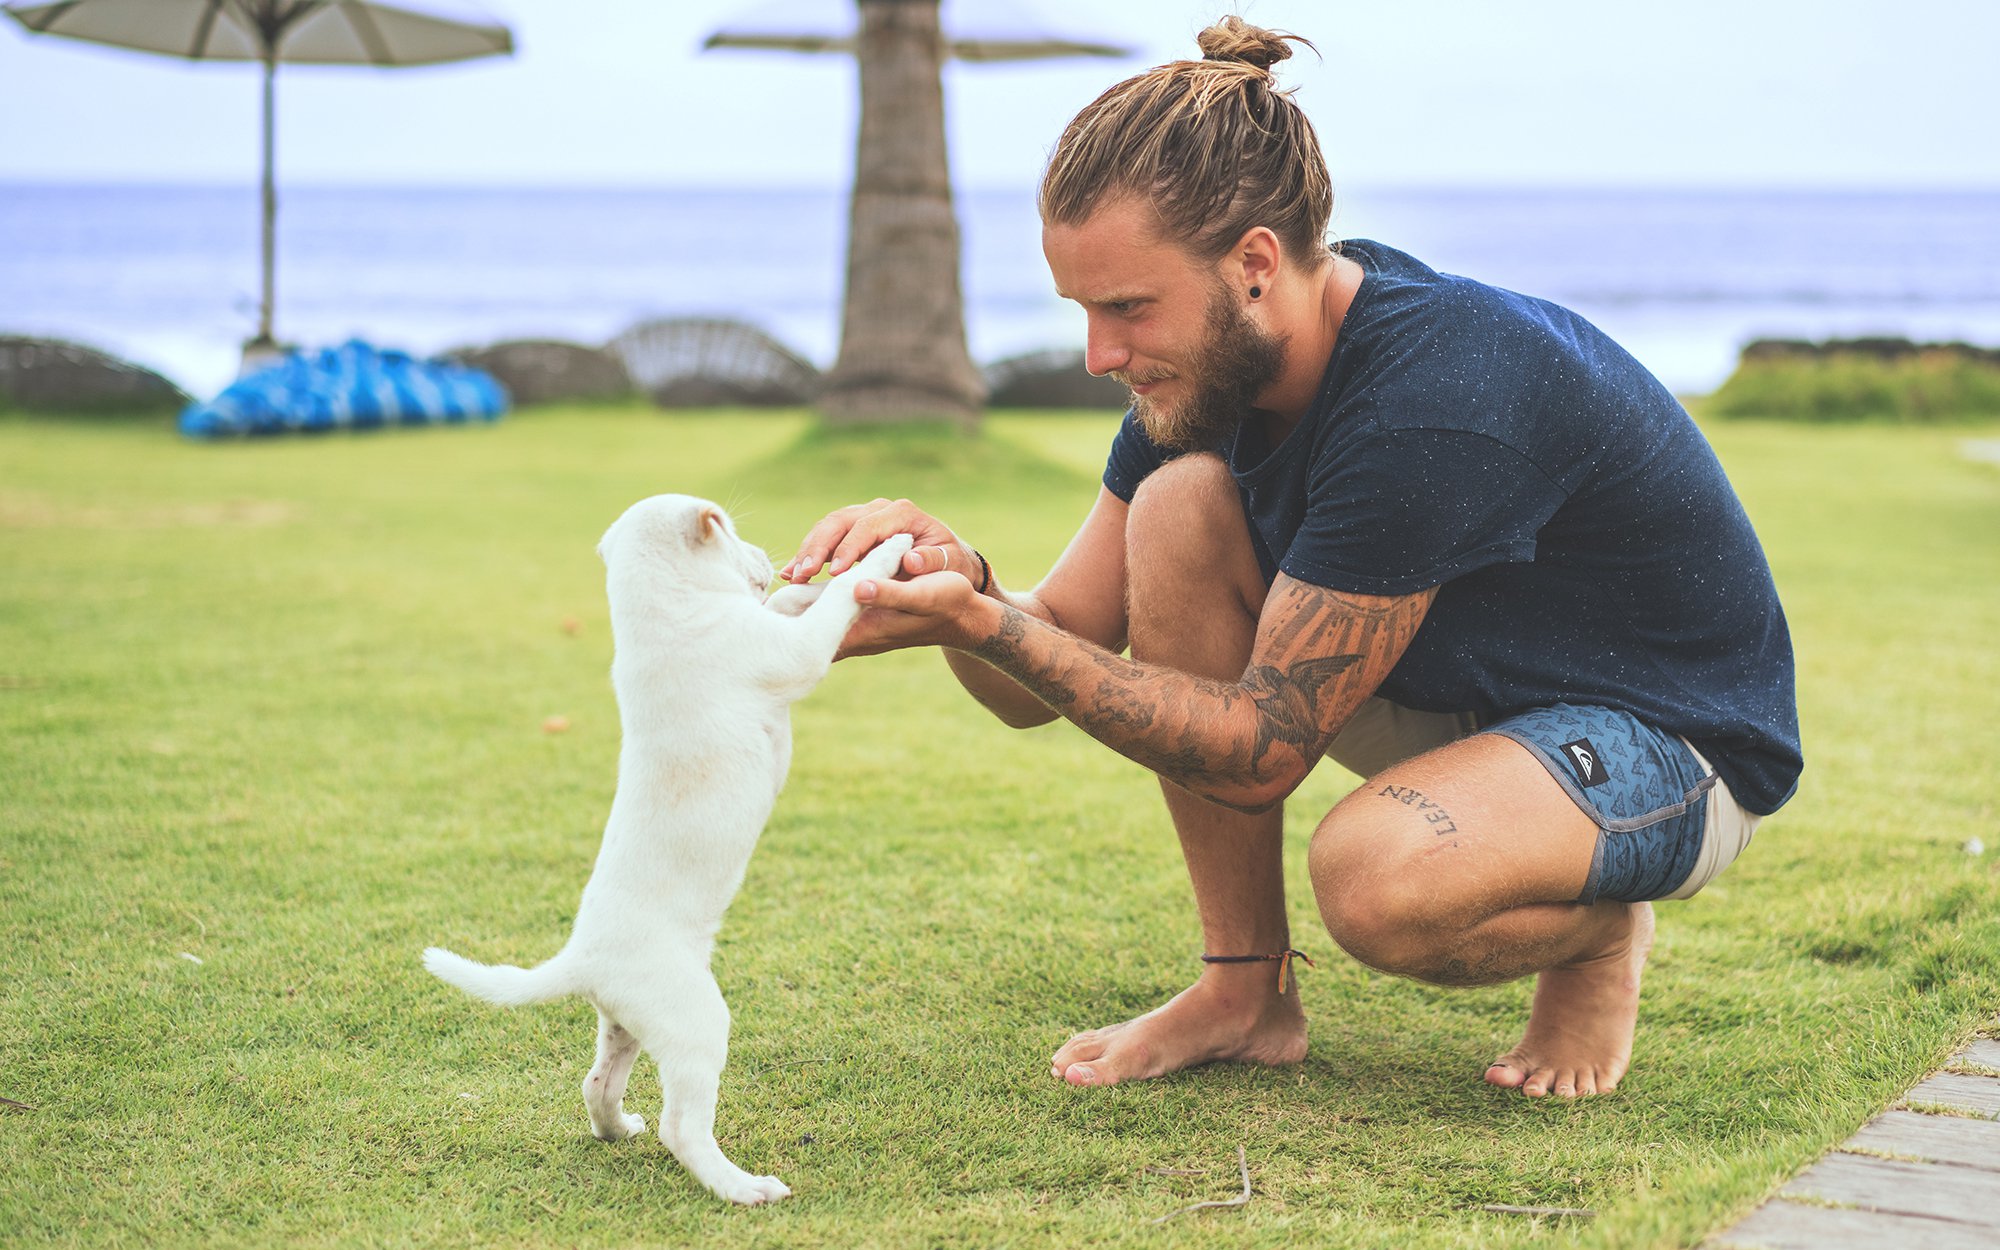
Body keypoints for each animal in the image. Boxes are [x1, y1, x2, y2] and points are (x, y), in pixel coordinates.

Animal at [430, 492, 916, 1208]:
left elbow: (790, 605)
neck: (661, 609)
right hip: (695, 1021)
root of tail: (581, 959)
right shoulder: (788, 654)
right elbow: (828, 611)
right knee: (682, 1127)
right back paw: (743, 1188)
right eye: (734, 533)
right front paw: (882, 554)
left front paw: (810, 580)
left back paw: (617, 1129)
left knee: (598, 1084)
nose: (772, 560)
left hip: (629, 1022)